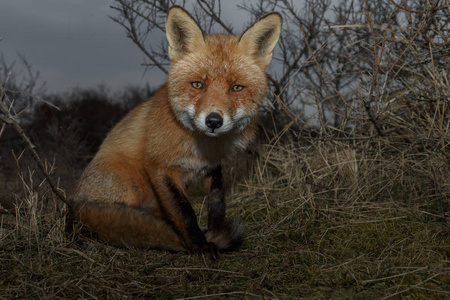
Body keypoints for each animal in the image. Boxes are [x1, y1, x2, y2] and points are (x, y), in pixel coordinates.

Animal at [70, 5, 282, 256]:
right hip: (130, 186)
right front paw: (200, 245)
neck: (203, 146)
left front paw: (215, 232)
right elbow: (185, 212)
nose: (213, 121)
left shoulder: (214, 167)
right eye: (198, 84)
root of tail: (73, 207)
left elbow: (217, 203)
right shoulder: (160, 167)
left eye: (236, 87)